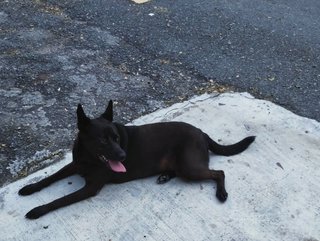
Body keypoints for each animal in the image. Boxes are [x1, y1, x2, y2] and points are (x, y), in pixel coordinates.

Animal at [19, 100, 255, 218]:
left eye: (116, 138)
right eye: (102, 140)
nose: (123, 156)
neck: (89, 158)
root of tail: (202, 133)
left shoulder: (91, 187)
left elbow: (60, 200)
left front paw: (37, 210)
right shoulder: (74, 165)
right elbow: (49, 178)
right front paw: (29, 188)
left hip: (190, 167)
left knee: (219, 172)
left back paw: (221, 193)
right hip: (183, 166)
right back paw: (165, 176)